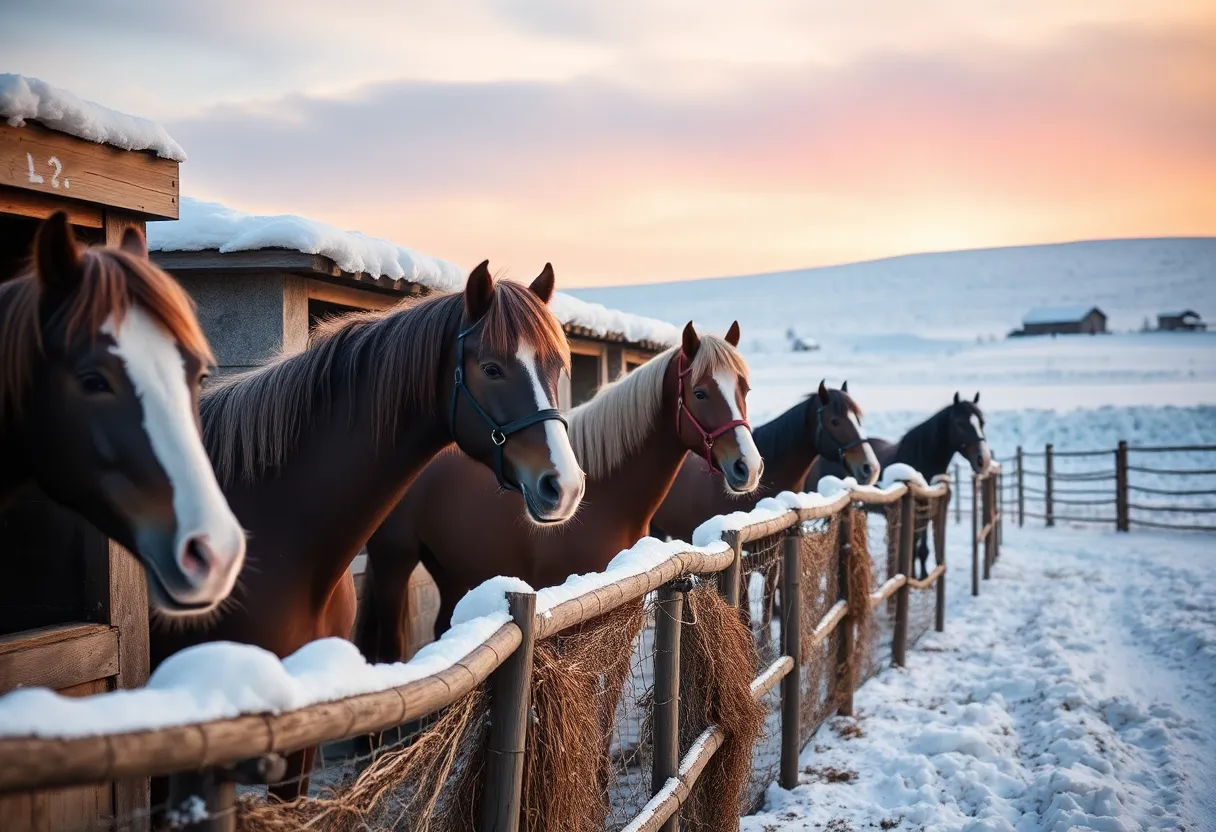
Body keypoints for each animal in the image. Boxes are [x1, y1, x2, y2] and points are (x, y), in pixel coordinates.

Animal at [356, 321, 761, 677]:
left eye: (745, 390)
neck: (605, 497)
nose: (749, 467)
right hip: (394, 563)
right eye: (700, 393)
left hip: (453, 572)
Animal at [805, 391, 990, 578]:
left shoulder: (924, 516)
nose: (983, 460)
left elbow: (921, 550)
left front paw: (921, 576)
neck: (919, 462)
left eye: (982, 422)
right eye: (960, 424)